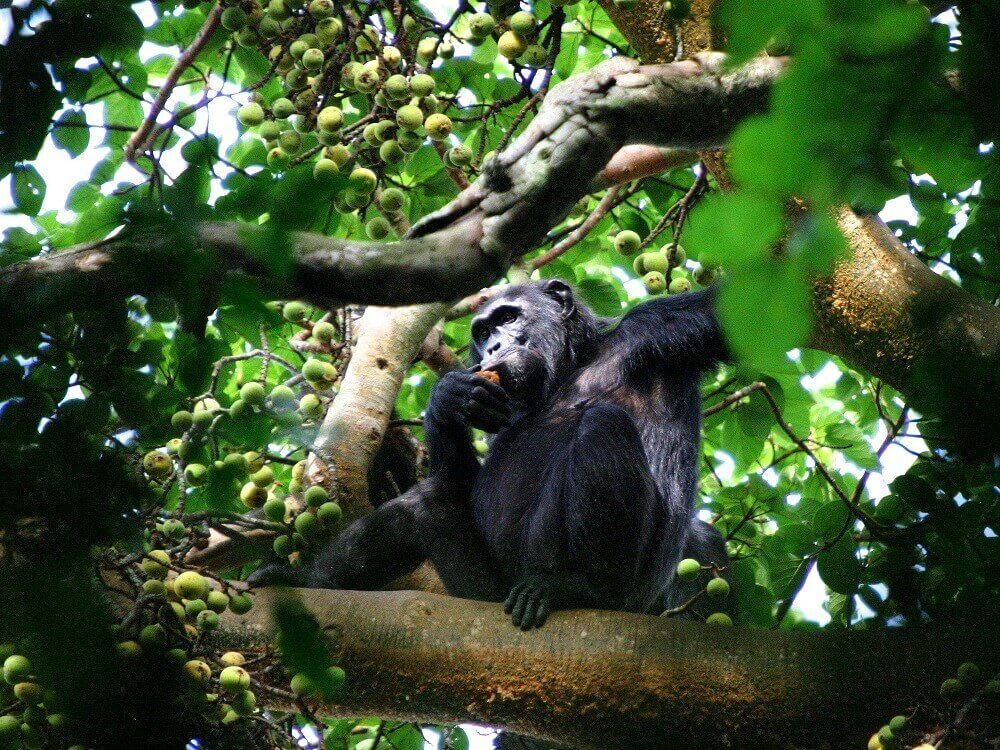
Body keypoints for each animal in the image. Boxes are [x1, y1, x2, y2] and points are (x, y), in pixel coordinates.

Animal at [250, 282, 732, 628]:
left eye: (508, 317)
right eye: (482, 332)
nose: (493, 347)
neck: (570, 367)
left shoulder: (657, 327)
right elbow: (461, 478)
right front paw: (447, 399)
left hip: (612, 586)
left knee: (604, 423)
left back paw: (589, 587)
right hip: (483, 591)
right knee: (426, 500)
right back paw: (309, 581)